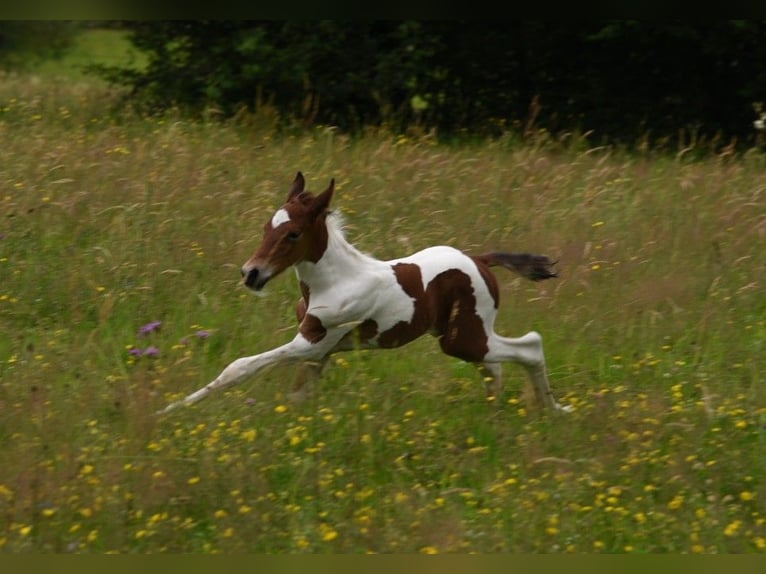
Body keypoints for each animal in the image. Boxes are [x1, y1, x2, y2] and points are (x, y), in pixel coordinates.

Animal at [159, 173, 572, 416]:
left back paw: (554, 411)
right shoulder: (320, 353)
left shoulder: (312, 342)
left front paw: (171, 409)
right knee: (497, 366)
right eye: (265, 227)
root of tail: (480, 259)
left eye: (293, 234)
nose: (251, 274)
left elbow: (239, 366)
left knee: (530, 346)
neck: (334, 281)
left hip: (463, 338)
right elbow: (297, 396)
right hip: (466, 336)